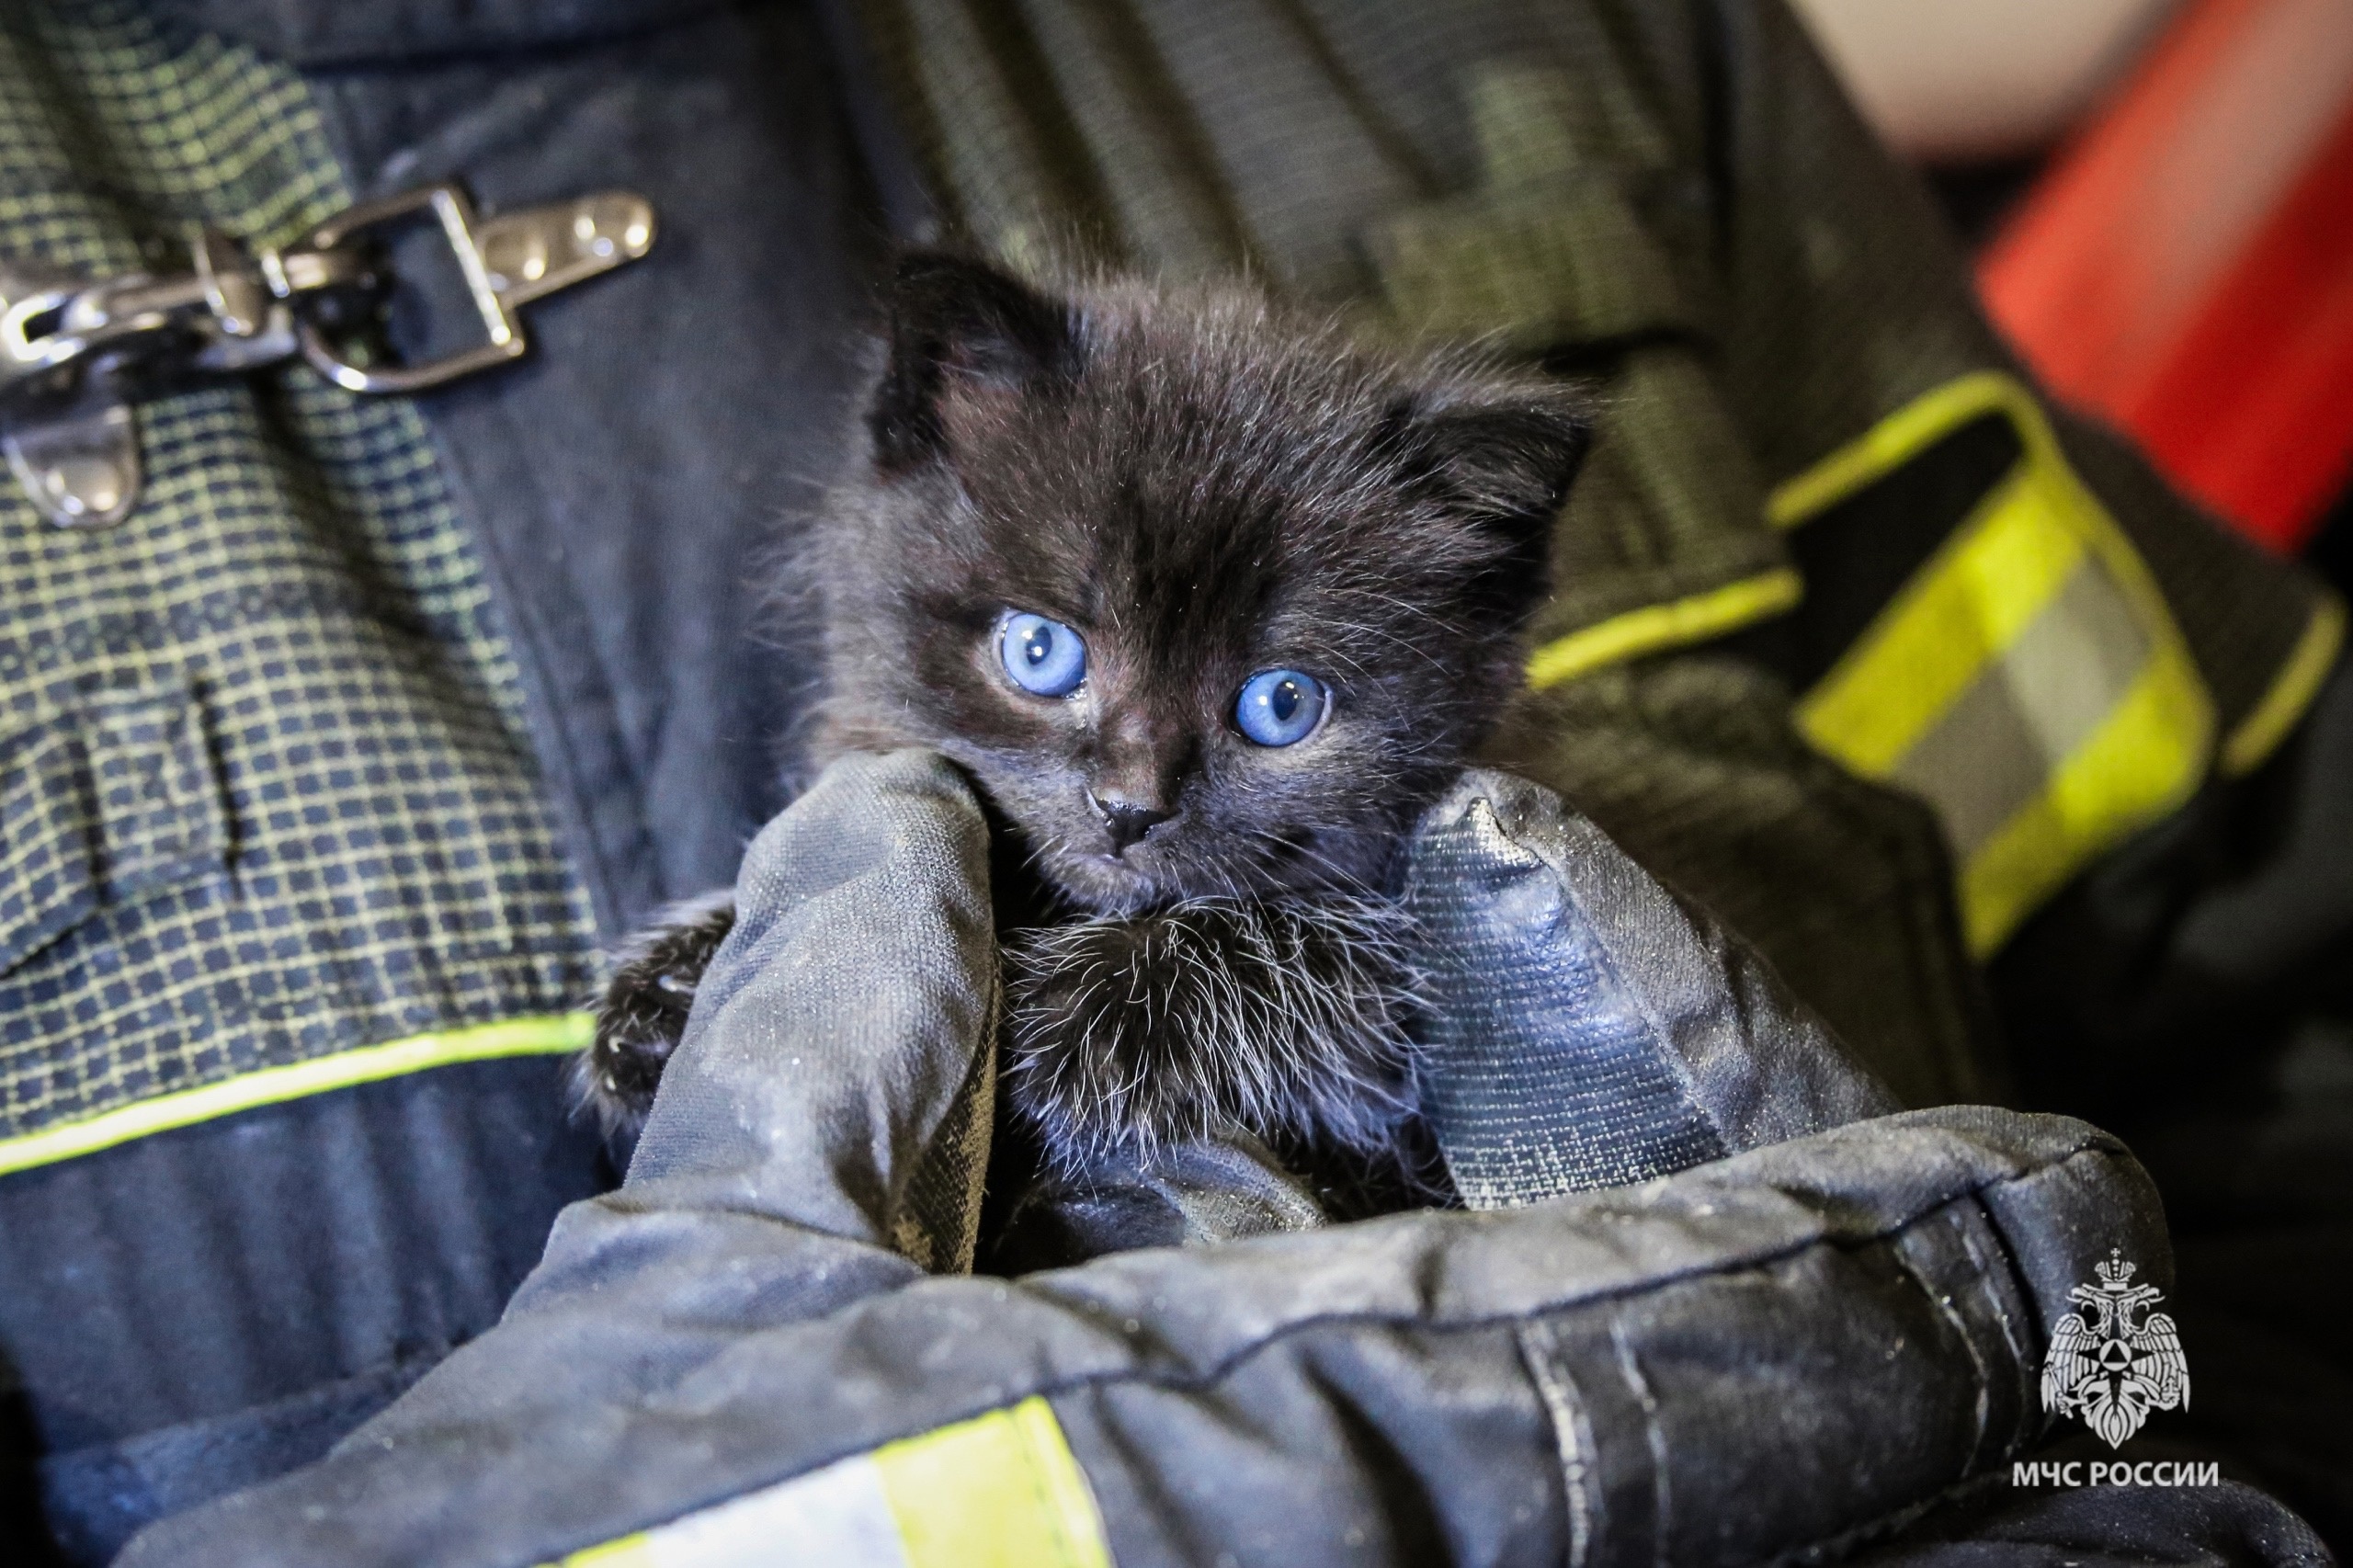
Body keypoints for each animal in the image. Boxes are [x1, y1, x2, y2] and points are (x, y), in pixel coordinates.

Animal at [578, 246, 1590, 1172]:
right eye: (1040, 650)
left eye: (1282, 703)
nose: (1128, 805)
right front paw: (684, 977)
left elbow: (1344, 957)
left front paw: (1080, 1009)